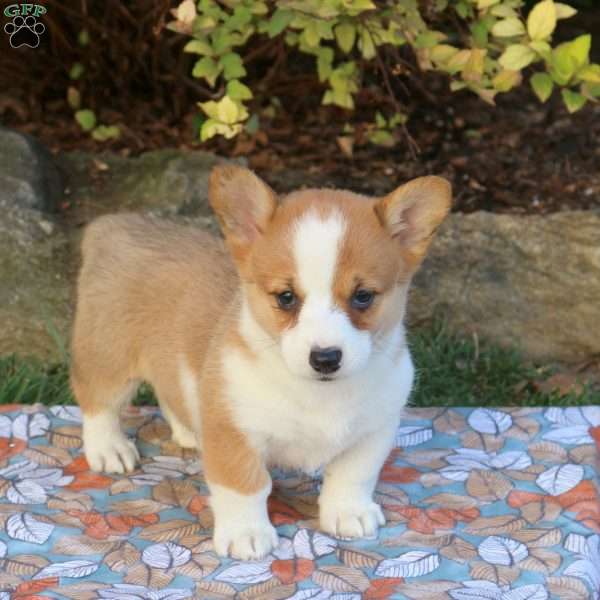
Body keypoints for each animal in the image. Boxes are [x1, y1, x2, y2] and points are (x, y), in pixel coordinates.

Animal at [71, 166, 450, 560]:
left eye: (363, 296)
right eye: (286, 297)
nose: (325, 358)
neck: (319, 394)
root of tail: (114, 225)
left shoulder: (374, 430)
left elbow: (353, 475)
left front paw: (349, 513)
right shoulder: (234, 432)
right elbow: (245, 486)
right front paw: (246, 534)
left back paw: (189, 431)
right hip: (108, 358)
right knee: (98, 402)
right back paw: (109, 449)